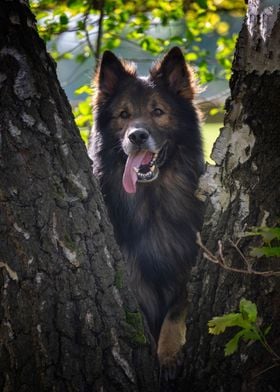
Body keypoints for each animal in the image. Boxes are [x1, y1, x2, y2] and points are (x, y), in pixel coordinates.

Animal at [89, 47, 203, 370]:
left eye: (158, 112)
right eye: (124, 115)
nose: (136, 136)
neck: (152, 201)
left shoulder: (188, 265)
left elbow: (176, 309)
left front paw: (168, 352)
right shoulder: (133, 274)